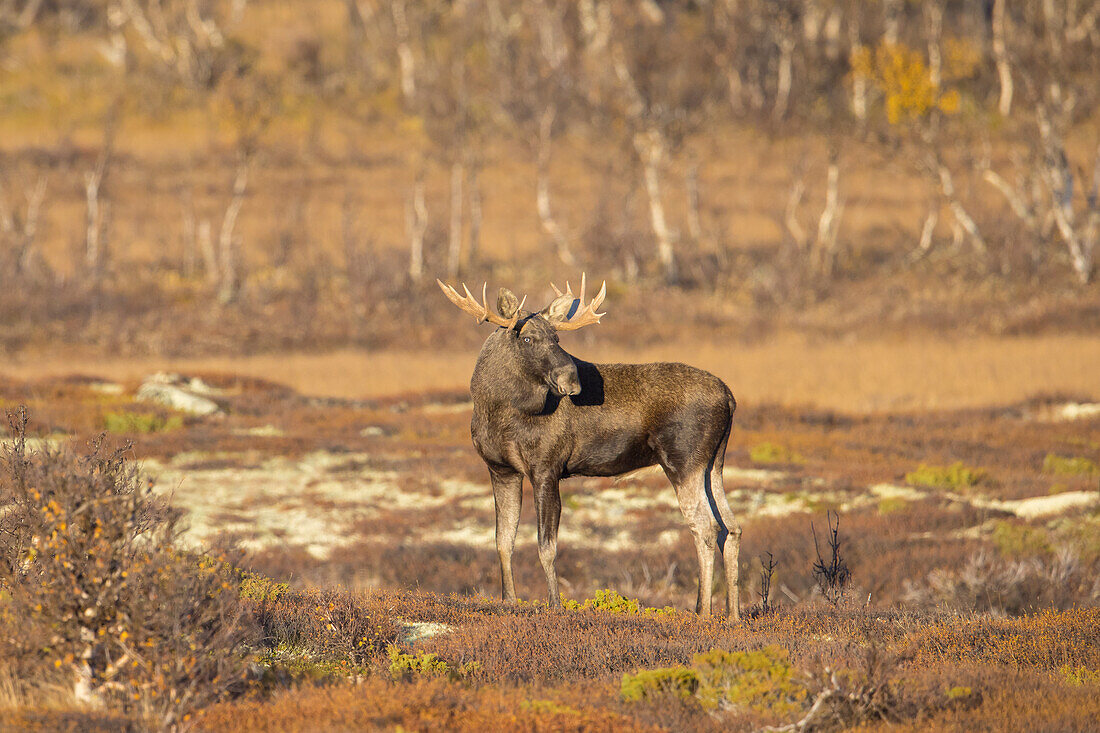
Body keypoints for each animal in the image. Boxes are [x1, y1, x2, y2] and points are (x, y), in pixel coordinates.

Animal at [435, 274, 739, 616]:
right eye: (526, 339)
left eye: (557, 338)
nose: (571, 379)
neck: (496, 409)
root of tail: (730, 398)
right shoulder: (501, 469)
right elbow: (503, 539)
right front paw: (508, 601)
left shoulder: (547, 468)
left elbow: (546, 546)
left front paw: (554, 605)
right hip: (713, 463)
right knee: (730, 527)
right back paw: (733, 615)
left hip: (683, 460)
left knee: (705, 527)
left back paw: (702, 612)